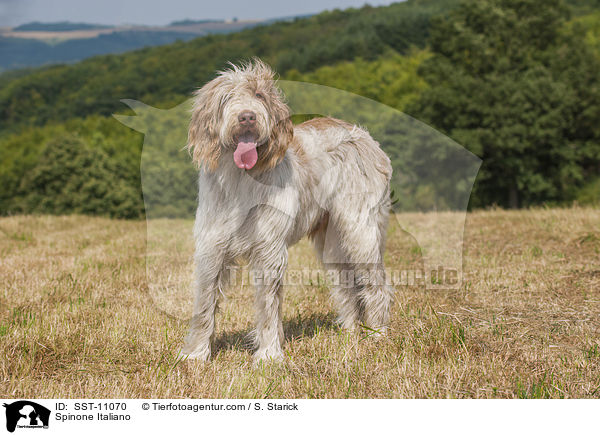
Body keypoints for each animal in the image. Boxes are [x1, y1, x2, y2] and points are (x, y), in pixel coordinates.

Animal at [183, 58, 394, 364]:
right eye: (227, 97)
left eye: (259, 95)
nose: (247, 117)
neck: (241, 179)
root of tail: (364, 135)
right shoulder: (211, 247)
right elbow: (204, 303)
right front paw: (195, 354)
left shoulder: (269, 248)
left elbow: (269, 305)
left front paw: (269, 355)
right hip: (332, 243)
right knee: (346, 285)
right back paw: (351, 333)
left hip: (360, 232)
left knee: (376, 283)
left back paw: (378, 333)